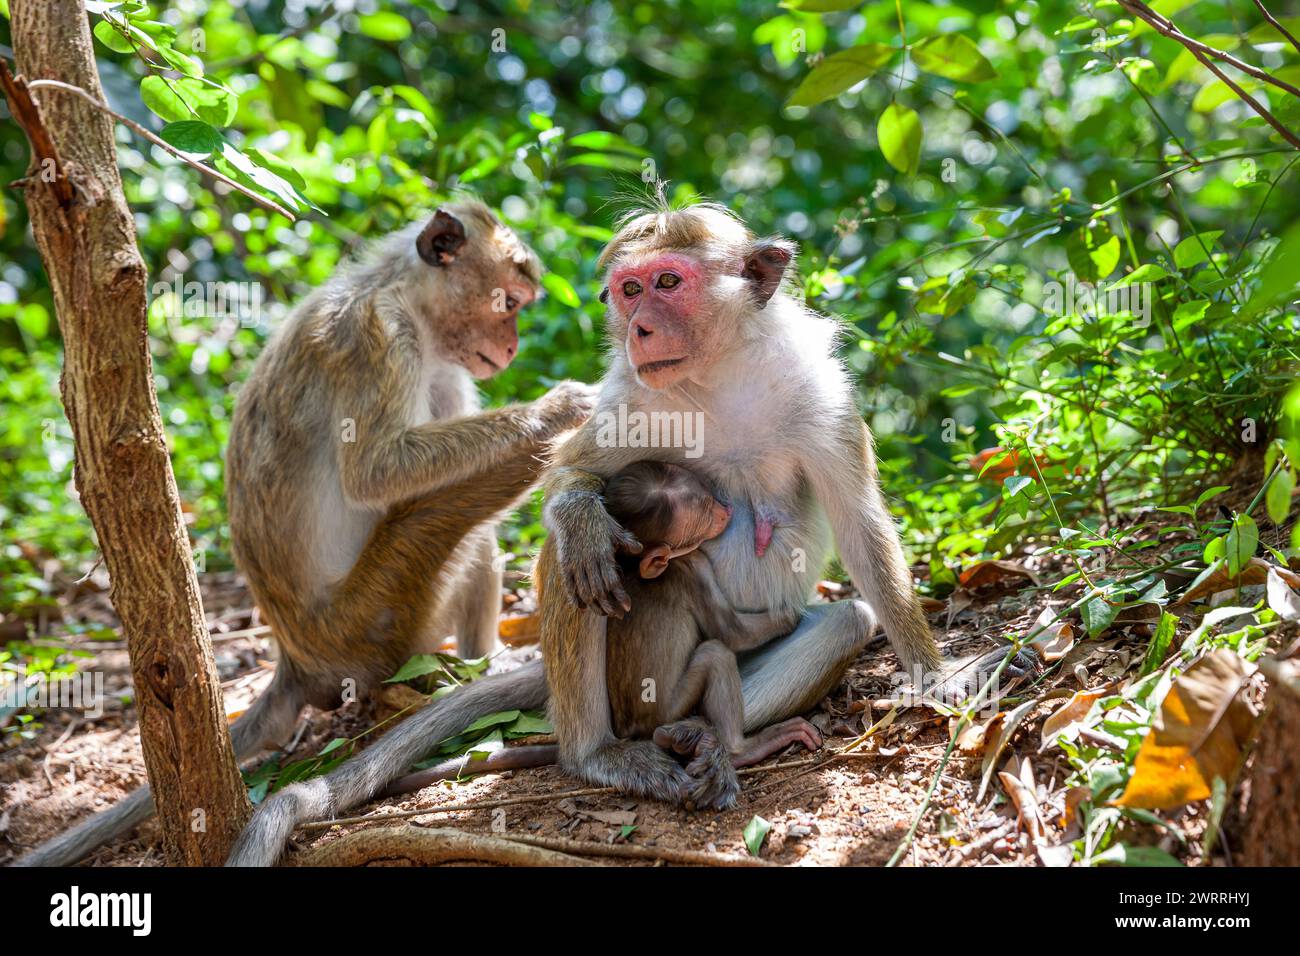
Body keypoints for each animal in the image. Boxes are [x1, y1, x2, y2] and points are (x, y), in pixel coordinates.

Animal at [15, 198, 596, 867]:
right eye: (508, 303)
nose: (512, 344)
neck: (401, 293)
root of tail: (297, 657)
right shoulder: (379, 338)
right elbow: (377, 470)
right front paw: (558, 408)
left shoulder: (443, 365)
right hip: (377, 616)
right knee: (461, 524)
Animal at [223, 198, 1025, 867]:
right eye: (631, 290)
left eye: (668, 282)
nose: (638, 328)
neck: (715, 378)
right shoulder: (630, 400)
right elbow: (570, 481)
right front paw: (581, 509)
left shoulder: (821, 395)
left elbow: (860, 526)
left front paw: (936, 677)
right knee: (576, 566)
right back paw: (600, 750)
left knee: (840, 623)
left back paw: (714, 740)